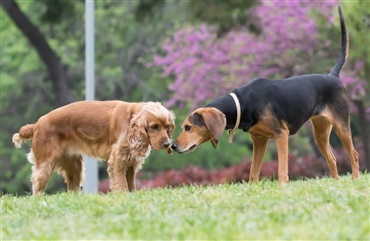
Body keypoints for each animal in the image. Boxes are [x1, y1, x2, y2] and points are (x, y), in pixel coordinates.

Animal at [172, 7, 360, 185]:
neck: (243, 102)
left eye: (188, 127)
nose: (173, 146)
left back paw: (355, 178)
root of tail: (332, 75)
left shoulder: (281, 135)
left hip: (341, 126)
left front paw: (282, 187)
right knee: (332, 159)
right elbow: (253, 173)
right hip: (320, 132)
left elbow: (282, 169)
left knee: (354, 154)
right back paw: (335, 183)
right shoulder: (259, 140)